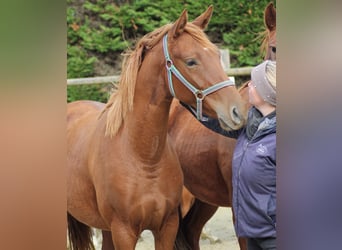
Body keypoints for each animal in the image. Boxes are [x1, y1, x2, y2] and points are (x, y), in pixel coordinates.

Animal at [67, 5, 248, 250]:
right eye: (191, 61)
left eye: (216, 55)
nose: (238, 110)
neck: (142, 156)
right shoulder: (124, 231)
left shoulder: (167, 227)